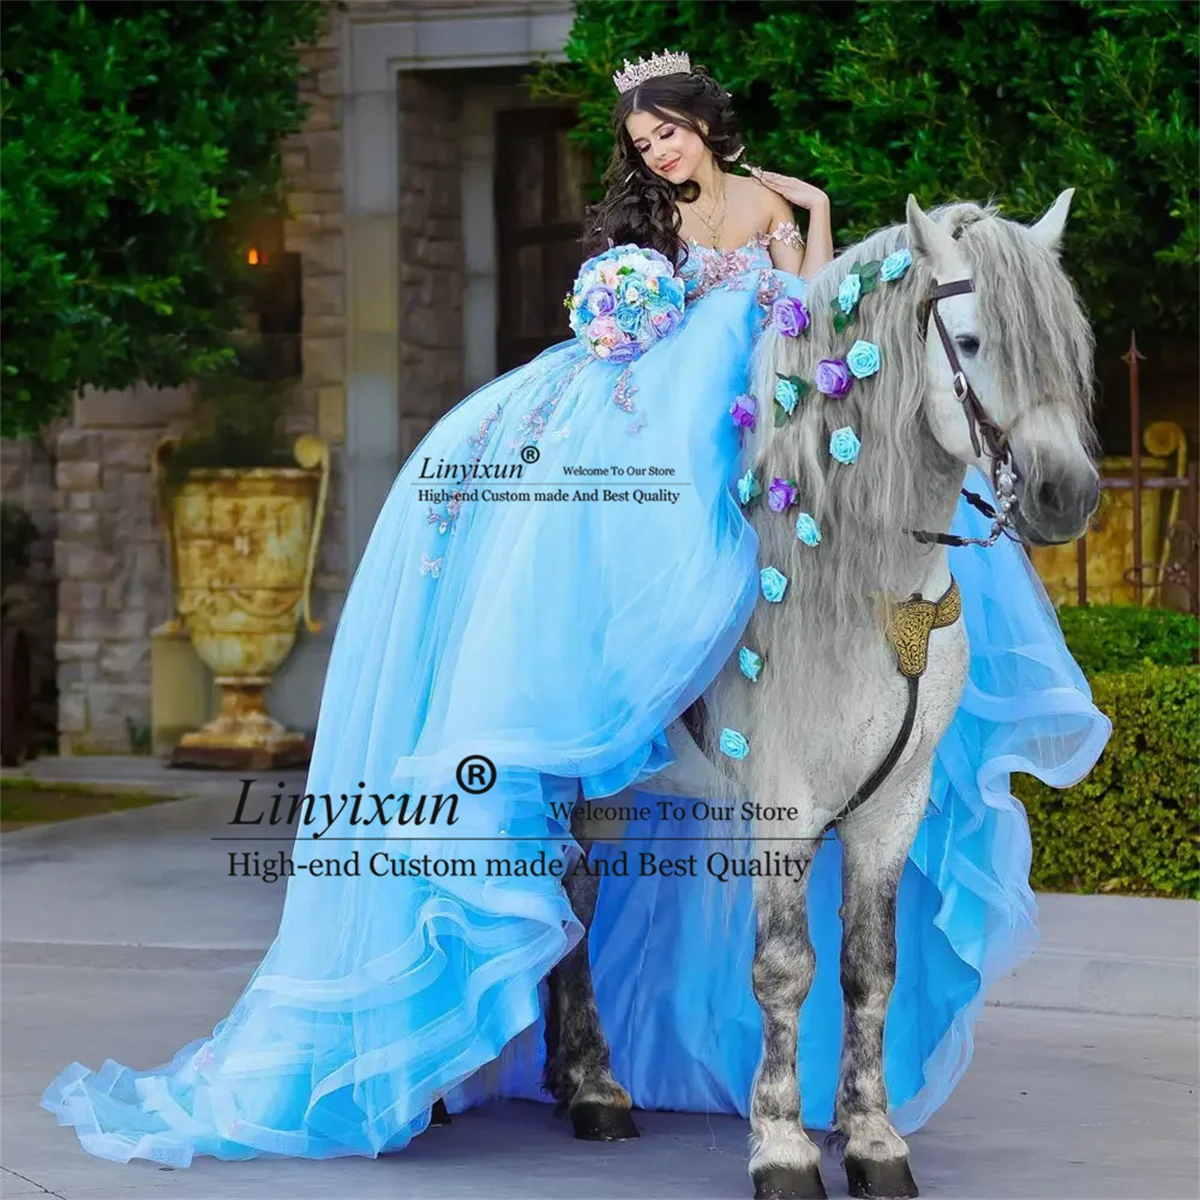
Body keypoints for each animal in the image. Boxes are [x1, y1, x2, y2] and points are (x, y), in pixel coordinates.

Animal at [542, 192, 1099, 1200]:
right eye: (970, 339)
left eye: (1067, 349)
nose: (1063, 495)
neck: (865, 579)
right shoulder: (784, 807)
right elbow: (784, 968)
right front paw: (783, 1146)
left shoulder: (892, 808)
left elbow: (869, 970)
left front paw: (873, 1141)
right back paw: (583, 1086)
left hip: (611, 784)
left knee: (578, 896)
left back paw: (578, 1078)